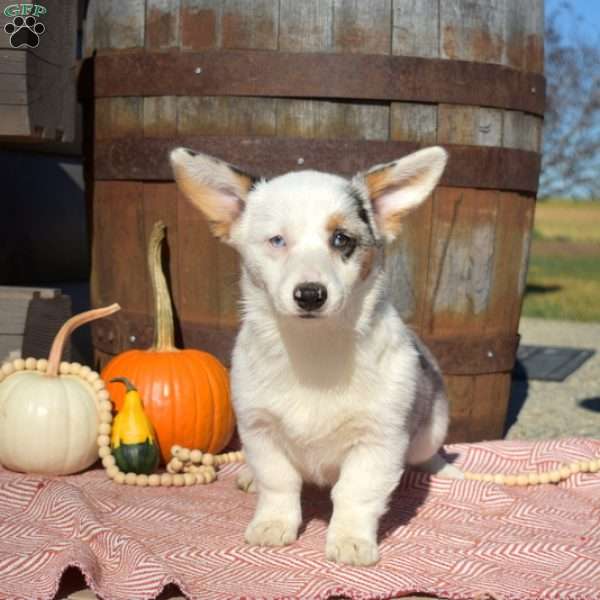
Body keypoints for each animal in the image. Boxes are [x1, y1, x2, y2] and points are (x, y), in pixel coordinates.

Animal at [171, 148, 462, 564]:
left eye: (341, 239)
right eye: (277, 240)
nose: (310, 294)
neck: (314, 346)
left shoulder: (378, 440)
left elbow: (355, 494)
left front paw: (351, 540)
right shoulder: (259, 430)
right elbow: (278, 482)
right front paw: (273, 523)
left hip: (430, 428)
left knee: (426, 454)